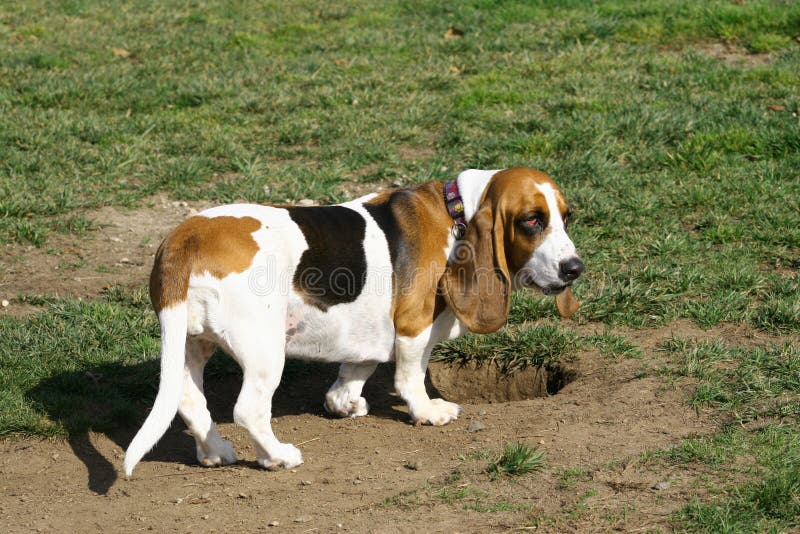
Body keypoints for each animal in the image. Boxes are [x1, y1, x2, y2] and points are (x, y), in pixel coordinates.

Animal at [125, 166, 584, 478]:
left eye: (566, 217)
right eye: (531, 220)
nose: (575, 268)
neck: (457, 214)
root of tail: (184, 240)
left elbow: (357, 368)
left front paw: (344, 401)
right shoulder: (413, 326)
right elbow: (411, 374)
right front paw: (426, 411)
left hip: (189, 344)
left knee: (188, 401)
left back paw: (215, 451)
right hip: (264, 351)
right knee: (248, 410)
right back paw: (278, 457)